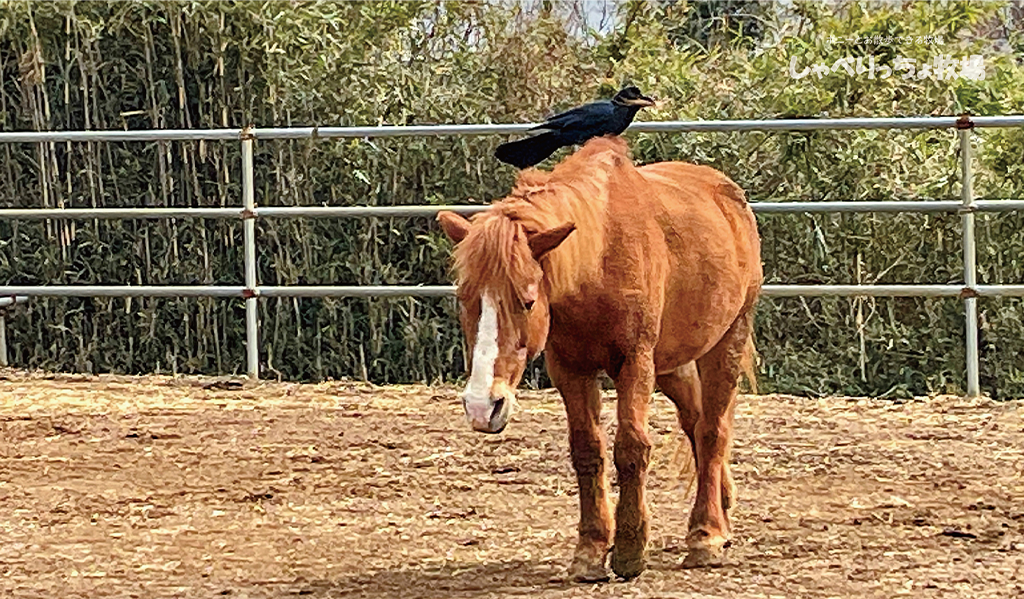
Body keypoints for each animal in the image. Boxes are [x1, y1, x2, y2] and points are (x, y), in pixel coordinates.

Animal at [437, 135, 762, 581]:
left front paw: (629, 549)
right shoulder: (570, 369)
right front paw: (591, 551)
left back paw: (706, 535)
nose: (482, 406)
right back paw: (722, 510)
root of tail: (729, 195)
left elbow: (631, 446)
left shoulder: (635, 363)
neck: (598, 261)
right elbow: (587, 450)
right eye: (464, 300)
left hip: (726, 341)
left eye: (527, 300)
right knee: (696, 423)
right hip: (673, 364)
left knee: (713, 431)